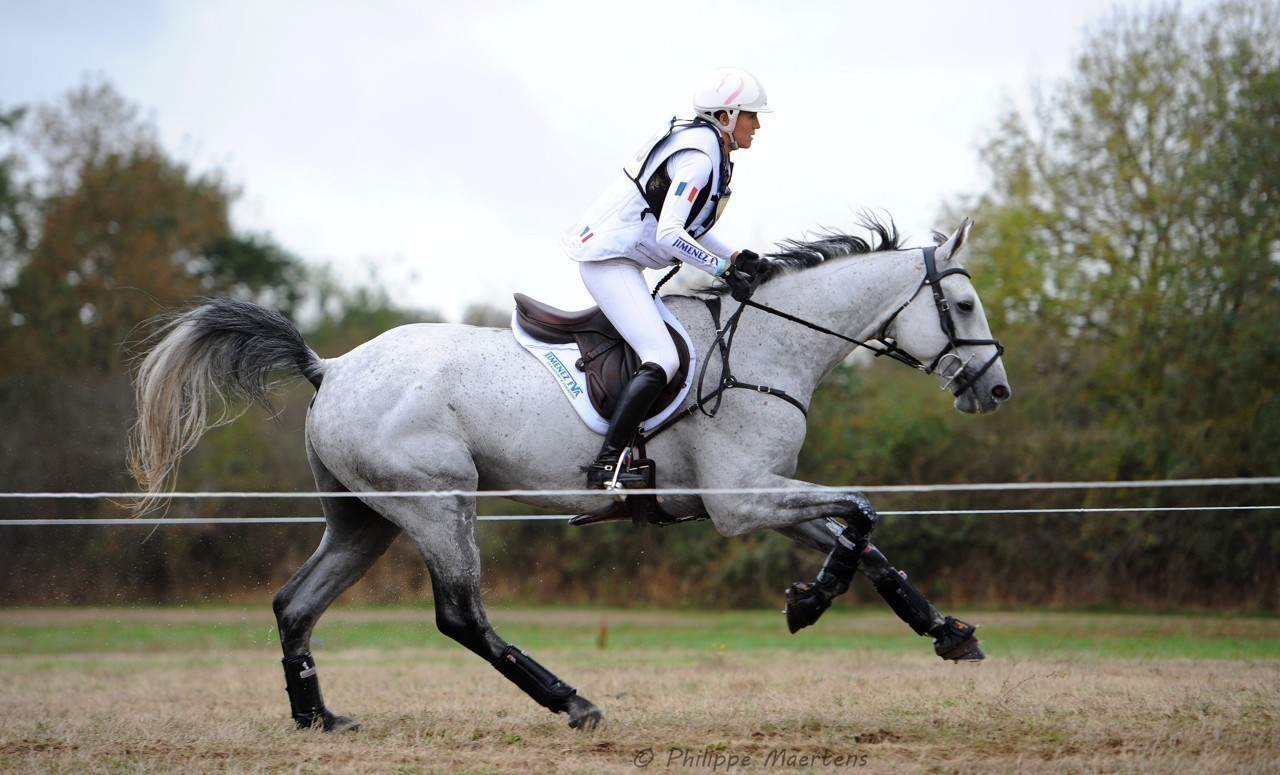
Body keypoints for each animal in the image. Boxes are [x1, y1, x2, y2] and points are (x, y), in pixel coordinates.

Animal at [129, 212, 1008, 732]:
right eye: (965, 307)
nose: (995, 390)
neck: (767, 343)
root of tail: (332, 366)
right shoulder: (741, 500)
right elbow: (863, 512)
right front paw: (810, 601)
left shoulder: (763, 495)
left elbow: (868, 543)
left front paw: (947, 632)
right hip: (438, 505)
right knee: (461, 616)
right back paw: (573, 700)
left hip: (365, 519)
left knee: (295, 603)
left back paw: (320, 717)